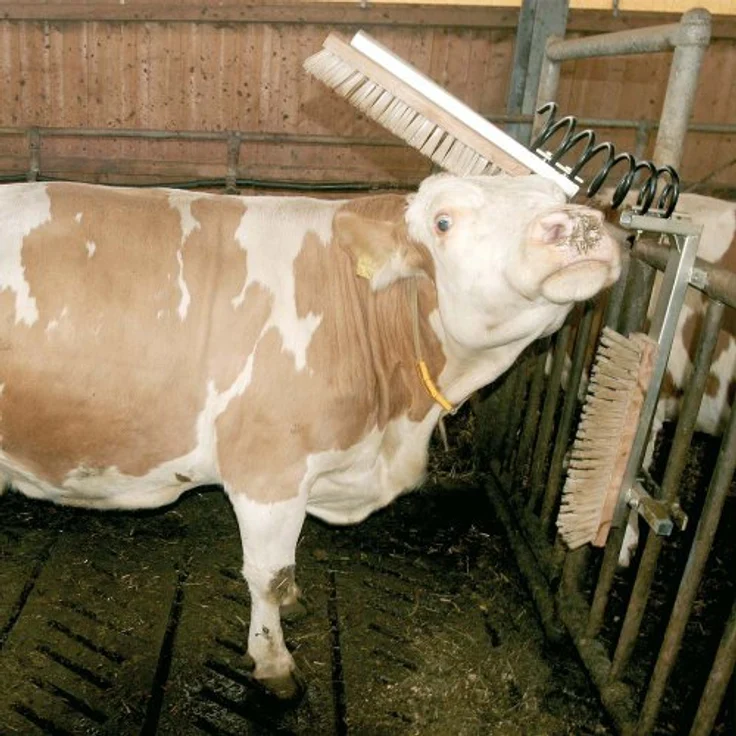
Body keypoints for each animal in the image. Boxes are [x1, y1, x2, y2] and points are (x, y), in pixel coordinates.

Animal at [0, 174, 620, 700]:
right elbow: (267, 576)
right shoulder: (267, 470)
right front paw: (274, 664)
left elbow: (287, 565)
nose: (577, 225)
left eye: (559, 192)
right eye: (443, 221)